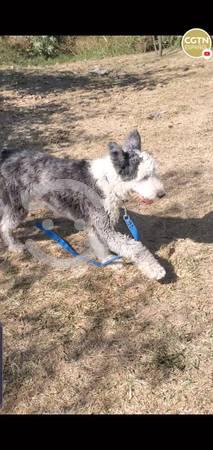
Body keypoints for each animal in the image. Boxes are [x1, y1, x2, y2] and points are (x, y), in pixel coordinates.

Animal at [0, 128, 166, 280]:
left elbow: (99, 245)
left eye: (154, 172)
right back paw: (15, 246)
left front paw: (108, 261)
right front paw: (156, 270)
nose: (162, 194)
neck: (108, 181)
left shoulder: (96, 225)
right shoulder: (103, 227)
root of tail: (5, 154)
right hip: (17, 204)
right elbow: (135, 248)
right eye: (144, 177)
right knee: (5, 225)